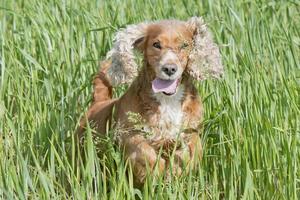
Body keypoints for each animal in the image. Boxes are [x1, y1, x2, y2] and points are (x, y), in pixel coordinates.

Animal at [77, 16, 223, 186]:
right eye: (156, 45)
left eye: (184, 45)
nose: (169, 69)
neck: (167, 100)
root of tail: (97, 102)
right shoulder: (129, 133)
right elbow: (146, 153)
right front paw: (156, 173)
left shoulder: (190, 131)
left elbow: (192, 149)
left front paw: (176, 172)